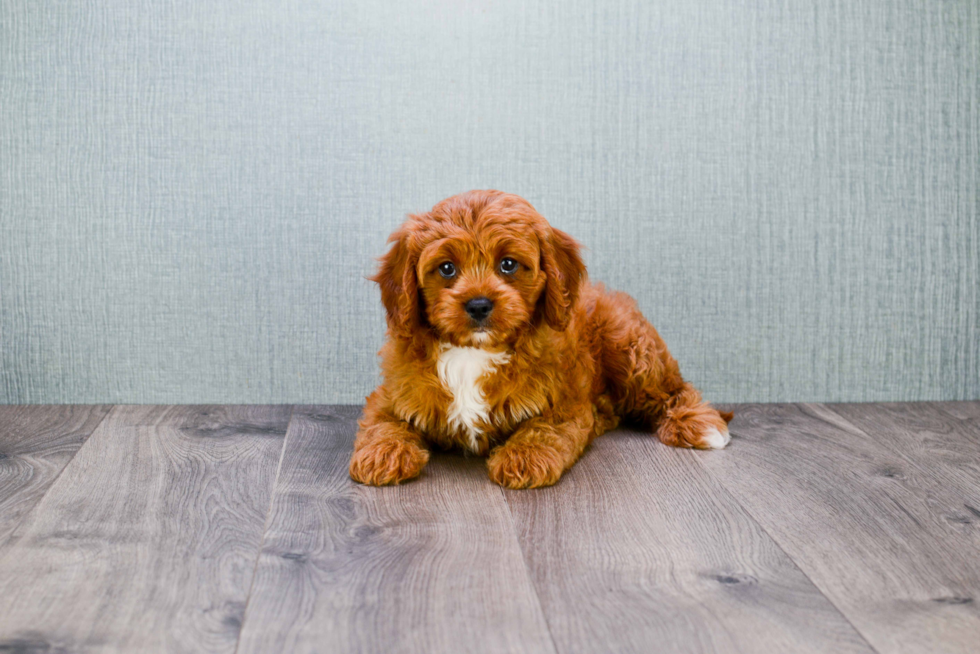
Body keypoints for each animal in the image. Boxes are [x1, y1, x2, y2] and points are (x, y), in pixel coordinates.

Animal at [350, 192, 728, 490]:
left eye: (508, 264)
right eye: (446, 268)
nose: (478, 304)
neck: (473, 351)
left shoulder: (565, 402)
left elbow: (542, 428)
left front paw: (523, 458)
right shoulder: (393, 393)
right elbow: (381, 422)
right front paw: (381, 454)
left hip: (630, 351)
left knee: (673, 390)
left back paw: (701, 424)